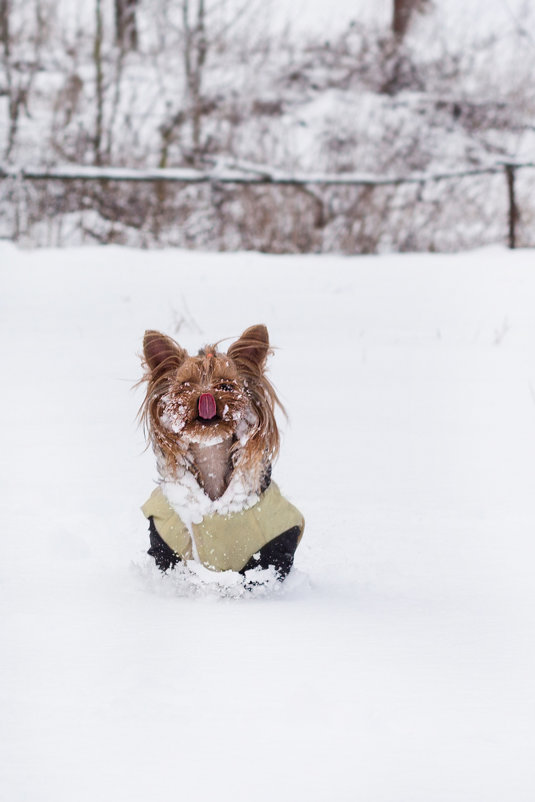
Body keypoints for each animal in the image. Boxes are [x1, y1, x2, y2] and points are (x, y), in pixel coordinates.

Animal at [140, 322, 304, 580]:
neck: (211, 456)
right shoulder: (164, 536)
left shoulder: (277, 539)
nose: (206, 397)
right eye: (185, 387)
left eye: (226, 386)